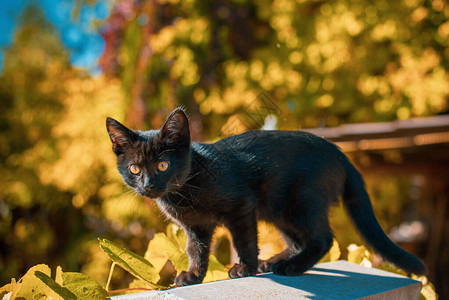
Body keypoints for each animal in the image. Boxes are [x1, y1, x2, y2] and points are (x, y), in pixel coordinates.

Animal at [106, 107, 428, 286]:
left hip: (302, 204)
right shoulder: (195, 227)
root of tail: (339, 152)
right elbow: (195, 250)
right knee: (299, 240)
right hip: (281, 211)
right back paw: (275, 262)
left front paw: (245, 268)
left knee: (322, 239)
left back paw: (291, 267)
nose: (149, 185)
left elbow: (244, 240)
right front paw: (194, 276)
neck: (185, 191)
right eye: (135, 168)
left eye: (163, 165)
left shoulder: (242, 208)